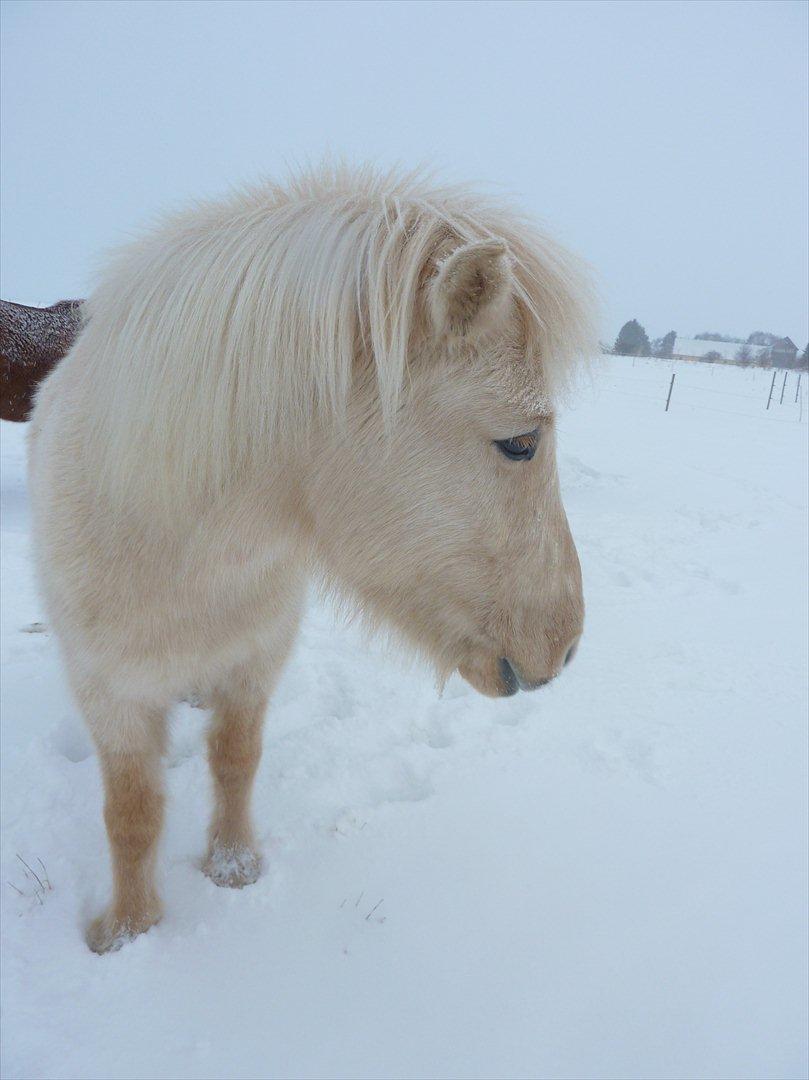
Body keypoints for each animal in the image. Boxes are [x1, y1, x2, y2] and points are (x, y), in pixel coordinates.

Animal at [28, 162, 596, 954]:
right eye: (519, 442)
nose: (564, 646)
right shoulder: (110, 692)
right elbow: (133, 812)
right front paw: (130, 933)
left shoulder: (255, 660)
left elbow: (235, 760)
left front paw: (234, 868)